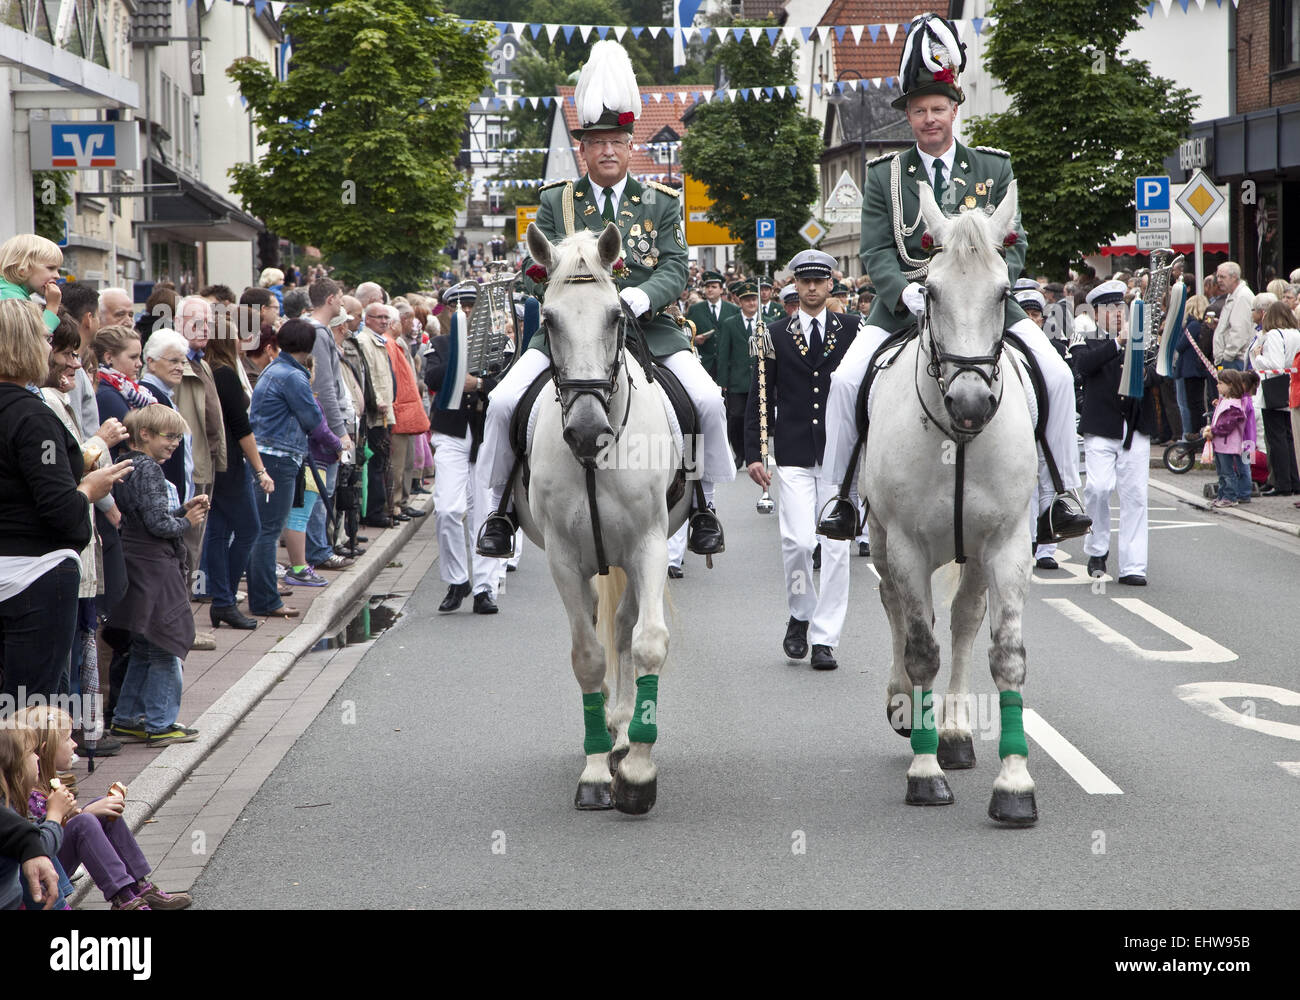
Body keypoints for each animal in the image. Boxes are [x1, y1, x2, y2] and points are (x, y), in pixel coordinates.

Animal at [512, 222, 691, 816]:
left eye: (616, 316)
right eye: (547, 319)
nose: (587, 432)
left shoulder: (649, 546)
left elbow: (648, 641)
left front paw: (637, 771)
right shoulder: (565, 560)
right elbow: (587, 656)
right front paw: (594, 773)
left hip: (632, 560)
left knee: (626, 625)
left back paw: (625, 730)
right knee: (599, 623)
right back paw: (609, 731)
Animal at [868, 182, 1040, 827]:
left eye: (1003, 292)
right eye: (932, 291)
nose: (970, 401)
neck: (958, 438)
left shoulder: (1009, 543)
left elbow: (1005, 653)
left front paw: (1014, 785)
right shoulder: (907, 546)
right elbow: (921, 651)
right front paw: (924, 773)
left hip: (974, 552)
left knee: (966, 618)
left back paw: (957, 733)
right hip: (880, 539)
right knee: (893, 603)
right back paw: (904, 709)